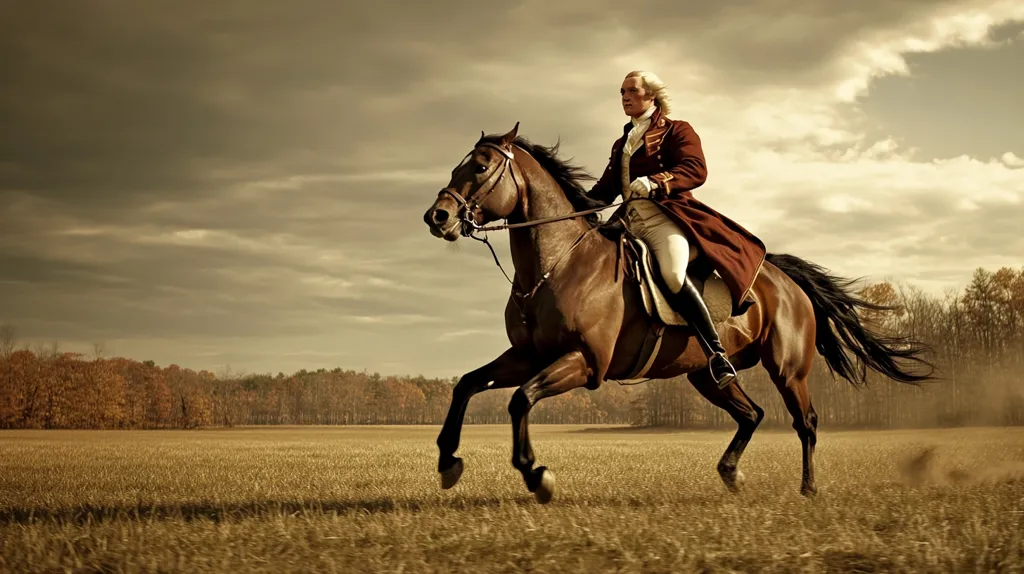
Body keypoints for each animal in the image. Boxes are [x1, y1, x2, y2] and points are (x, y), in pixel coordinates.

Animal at [421, 123, 935, 504]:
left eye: (480, 166)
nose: (437, 217)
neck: (558, 264)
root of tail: (783, 276)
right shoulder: (528, 355)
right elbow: (468, 384)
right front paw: (448, 461)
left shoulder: (585, 364)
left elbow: (520, 399)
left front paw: (536, 475)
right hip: (705, 375)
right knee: (751, 414)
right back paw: (730, 473)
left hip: (788, 370)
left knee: (804, 422)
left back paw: (807, 489)